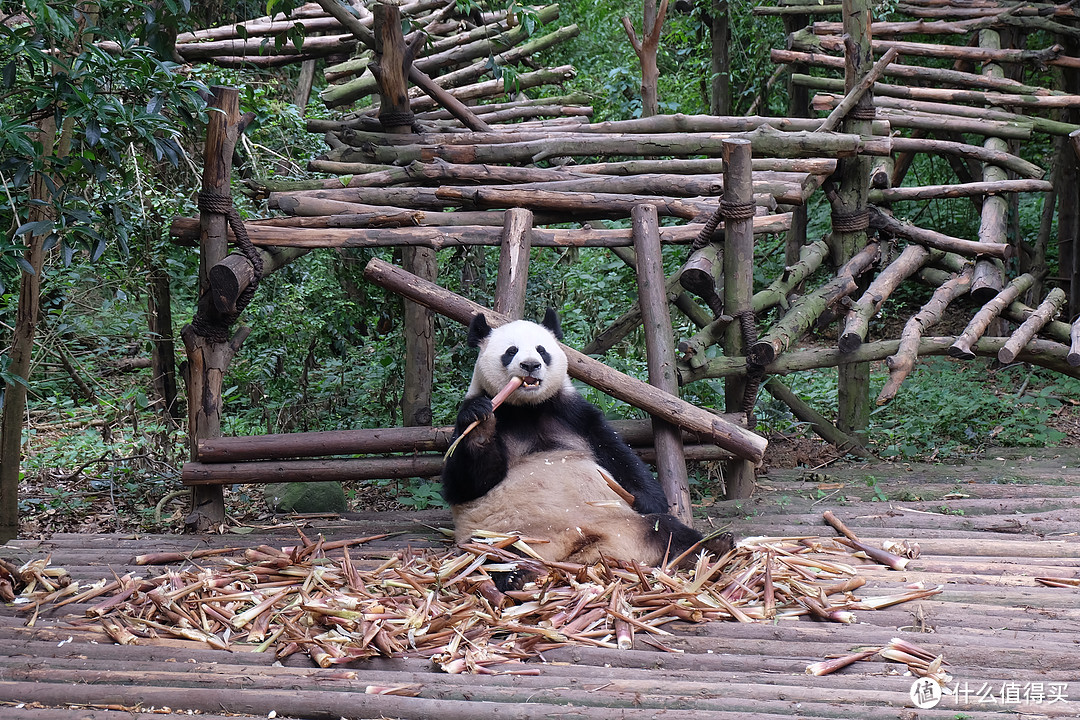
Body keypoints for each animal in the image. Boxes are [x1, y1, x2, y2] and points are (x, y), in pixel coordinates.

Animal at [438, 310, 734, 574]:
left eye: (541, 350)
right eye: (511, 351)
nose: (530, 365)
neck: (527, 409)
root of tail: (583, 547)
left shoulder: (574, 415)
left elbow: (619, 456)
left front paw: (648, 499)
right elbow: (466, 484)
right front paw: (479, 420)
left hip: (625, 524)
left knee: (667, 528)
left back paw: (713, 546)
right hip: (504, 534)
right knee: (494, 554)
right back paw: (515, 575)